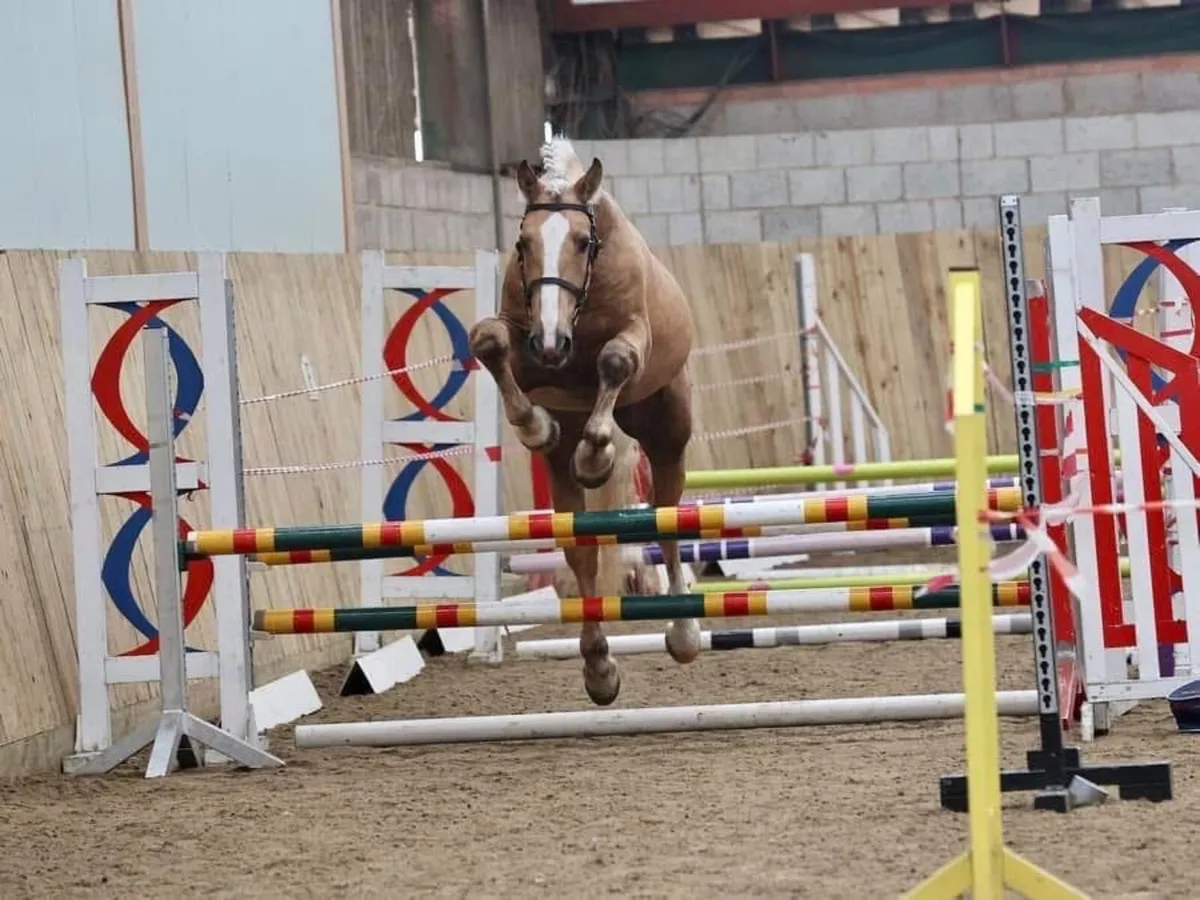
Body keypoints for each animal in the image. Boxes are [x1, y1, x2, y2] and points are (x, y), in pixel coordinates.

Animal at [469, 136, 697, 705]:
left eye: (580, 241)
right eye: (523, 242)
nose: (552, 345)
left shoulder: (631, 339)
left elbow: (614, 362)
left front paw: (597, 456)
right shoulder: (523, 343)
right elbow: (488, 341)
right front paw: (536, 426)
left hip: (668, 438)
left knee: (666, 524)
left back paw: (684, 634)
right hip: (561, 480)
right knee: (583, 555)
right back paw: (598, 667)